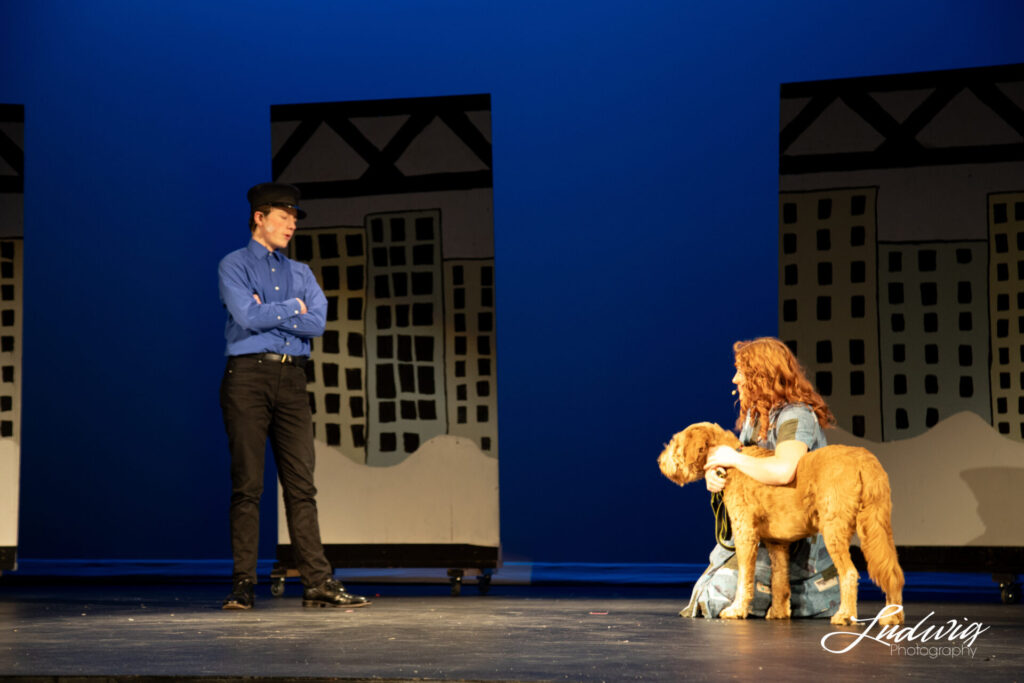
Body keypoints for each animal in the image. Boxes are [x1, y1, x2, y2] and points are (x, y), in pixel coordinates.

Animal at [655, 423, 905, 626]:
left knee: (850, 573)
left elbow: (745, 576)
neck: (734, 462)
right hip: (878, 525)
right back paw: (892, 616)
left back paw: (844, 615)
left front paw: (737, 609)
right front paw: (778, 612)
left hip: (836, 528)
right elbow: (779, 580)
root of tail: (864, 459)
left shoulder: (745, 532)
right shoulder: (777, 543)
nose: (659, 461)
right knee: (891, 569)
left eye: (675, 443)